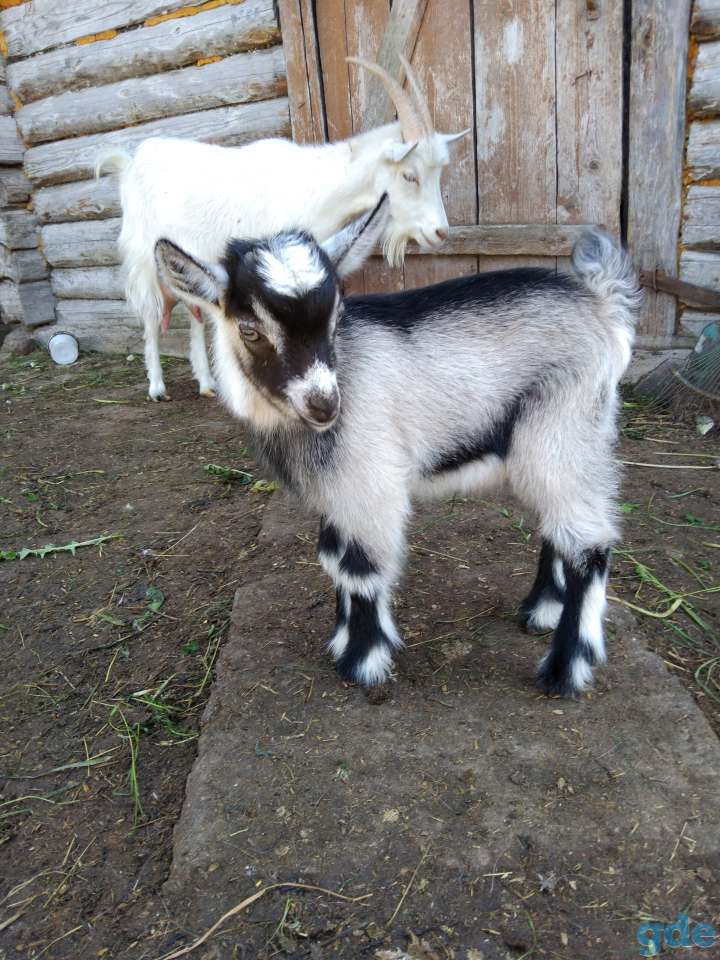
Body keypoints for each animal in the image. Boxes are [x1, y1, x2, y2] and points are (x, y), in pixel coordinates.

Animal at [96, 57, 469, 402]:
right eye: (409, 175)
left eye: (438, 172)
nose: (440, 232)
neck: (320, 189)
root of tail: (129, 163)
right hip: (144, 259)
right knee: (150, 317)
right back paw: (157, 387)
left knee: (196, 315)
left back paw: (206, 383)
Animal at [153, 196, 641, 697]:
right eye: (250, 330)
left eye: (336, 318)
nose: (324, 404)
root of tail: (600, 302)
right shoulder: (339, 490)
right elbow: (333, 558)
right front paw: (344, 639)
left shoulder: (371, 480)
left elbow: (360, 567)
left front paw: (363, 662)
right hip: (543, 444)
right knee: (556, 524)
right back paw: (541, 611)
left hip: (566, 425)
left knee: (588, 545)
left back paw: (565, 668)